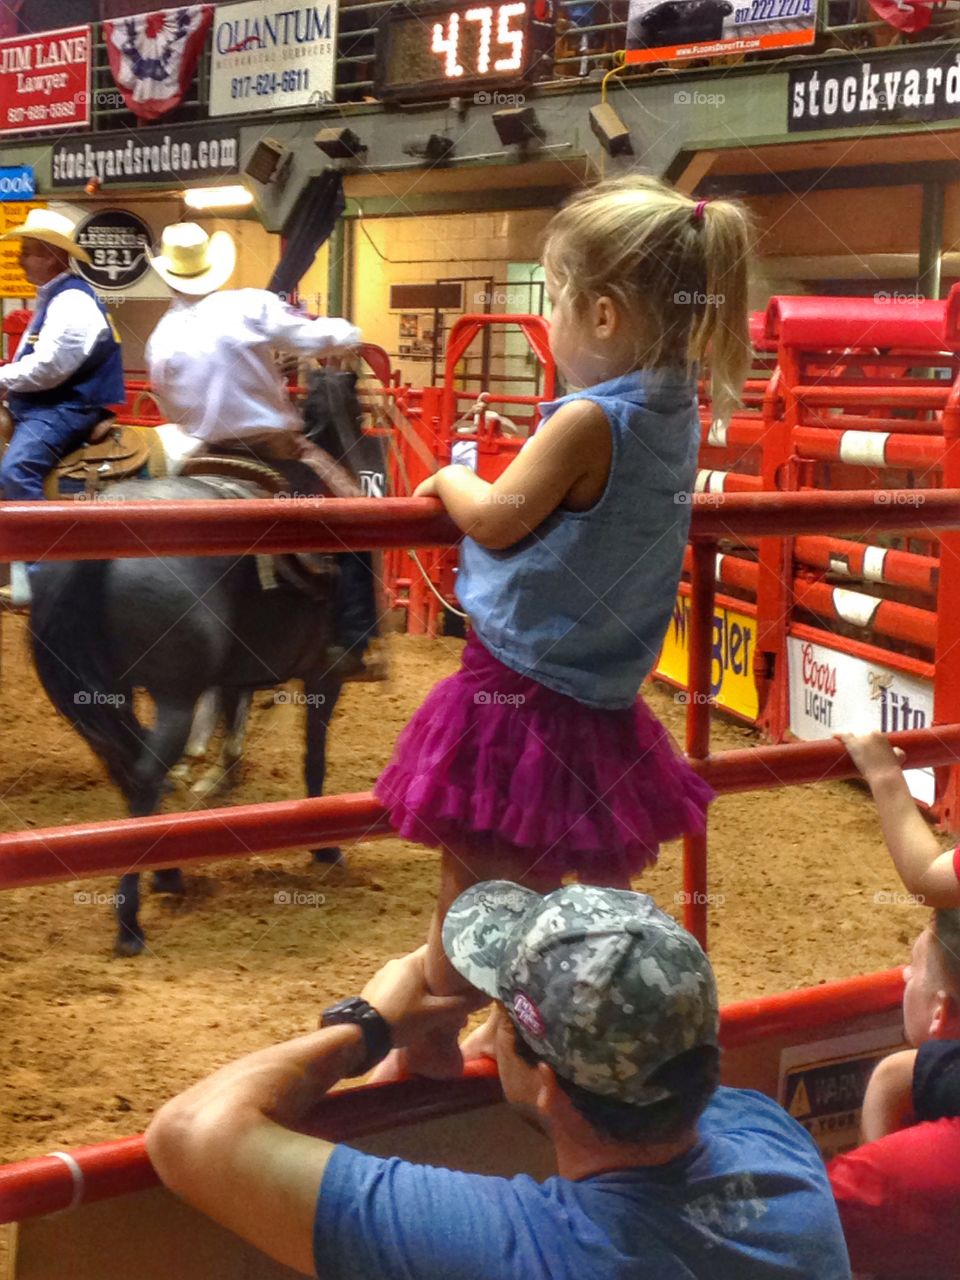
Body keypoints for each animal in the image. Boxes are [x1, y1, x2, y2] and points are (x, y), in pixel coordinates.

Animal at [25, 371, 384, 952]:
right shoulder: (324, 675)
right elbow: (313, 757)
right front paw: (325, 847)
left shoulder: (239, 673)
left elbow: (234, 723)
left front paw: (217, 776)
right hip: (172, 696)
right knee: (144, 777)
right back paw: (131, 924)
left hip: (106, 696)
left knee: (127, 771)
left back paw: (166, 875)